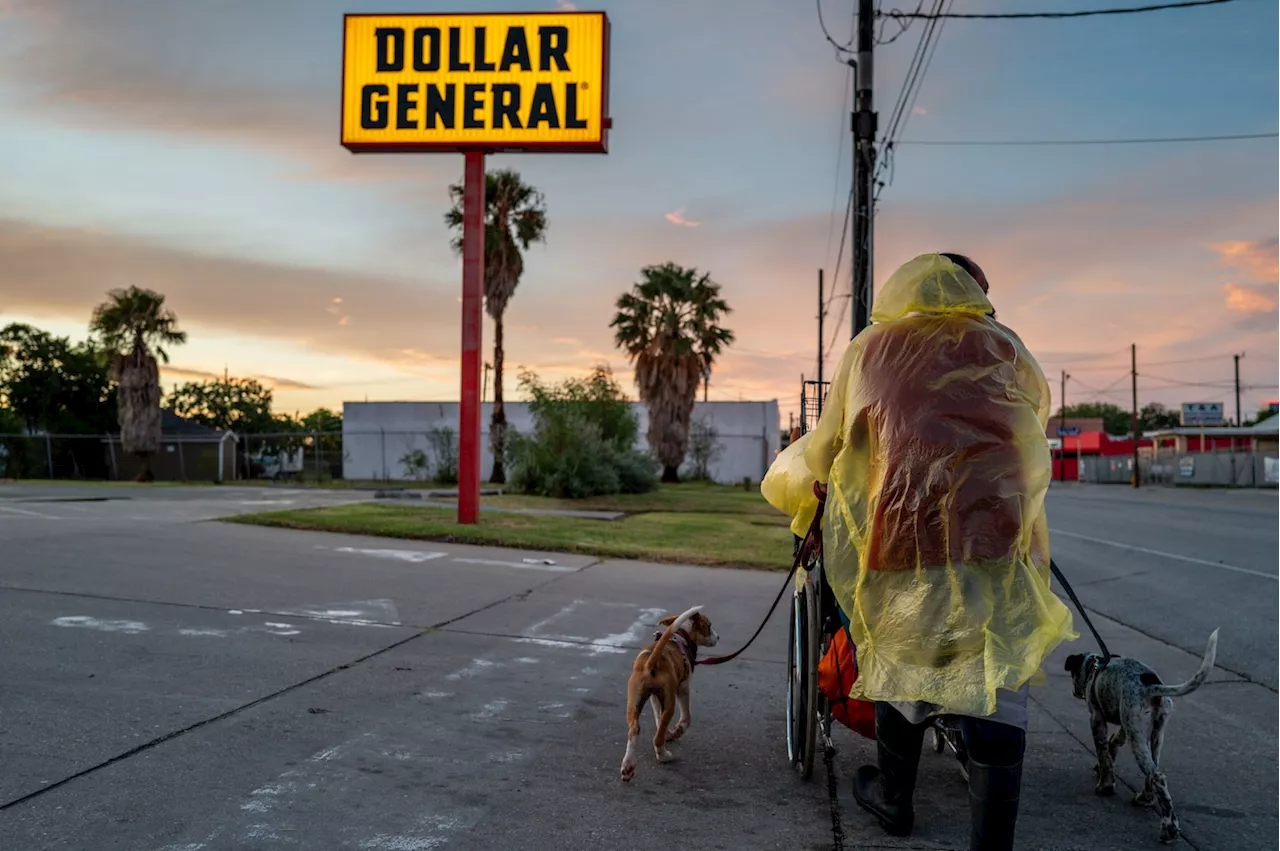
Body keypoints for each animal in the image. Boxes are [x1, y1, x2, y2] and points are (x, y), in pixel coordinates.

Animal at [619, 604, 721, 783]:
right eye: (709, 626)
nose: (719, 637)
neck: (680, 635)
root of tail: (652, 660)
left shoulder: (655, 697)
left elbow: (659, 719)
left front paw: (667, 732)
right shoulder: (683, 689)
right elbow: (686, 718)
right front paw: (676, 731)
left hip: (634, 700)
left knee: (634, 729)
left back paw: (628, 767)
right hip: (670, 703)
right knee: (657, 738)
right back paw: (663, 755)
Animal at [1059, 627, 1218, 839]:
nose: (1075, 692)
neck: (1094, 666)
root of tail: (1151, 686)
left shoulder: (1097, 720)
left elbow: (1103, 753)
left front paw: (1105, 785)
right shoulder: (1124, 726)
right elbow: (1112, 746)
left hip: (1137, 736)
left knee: (1157, 776)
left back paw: (1168, 828)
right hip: (1153, 735)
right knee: (1155, 770)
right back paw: (1146, 798)